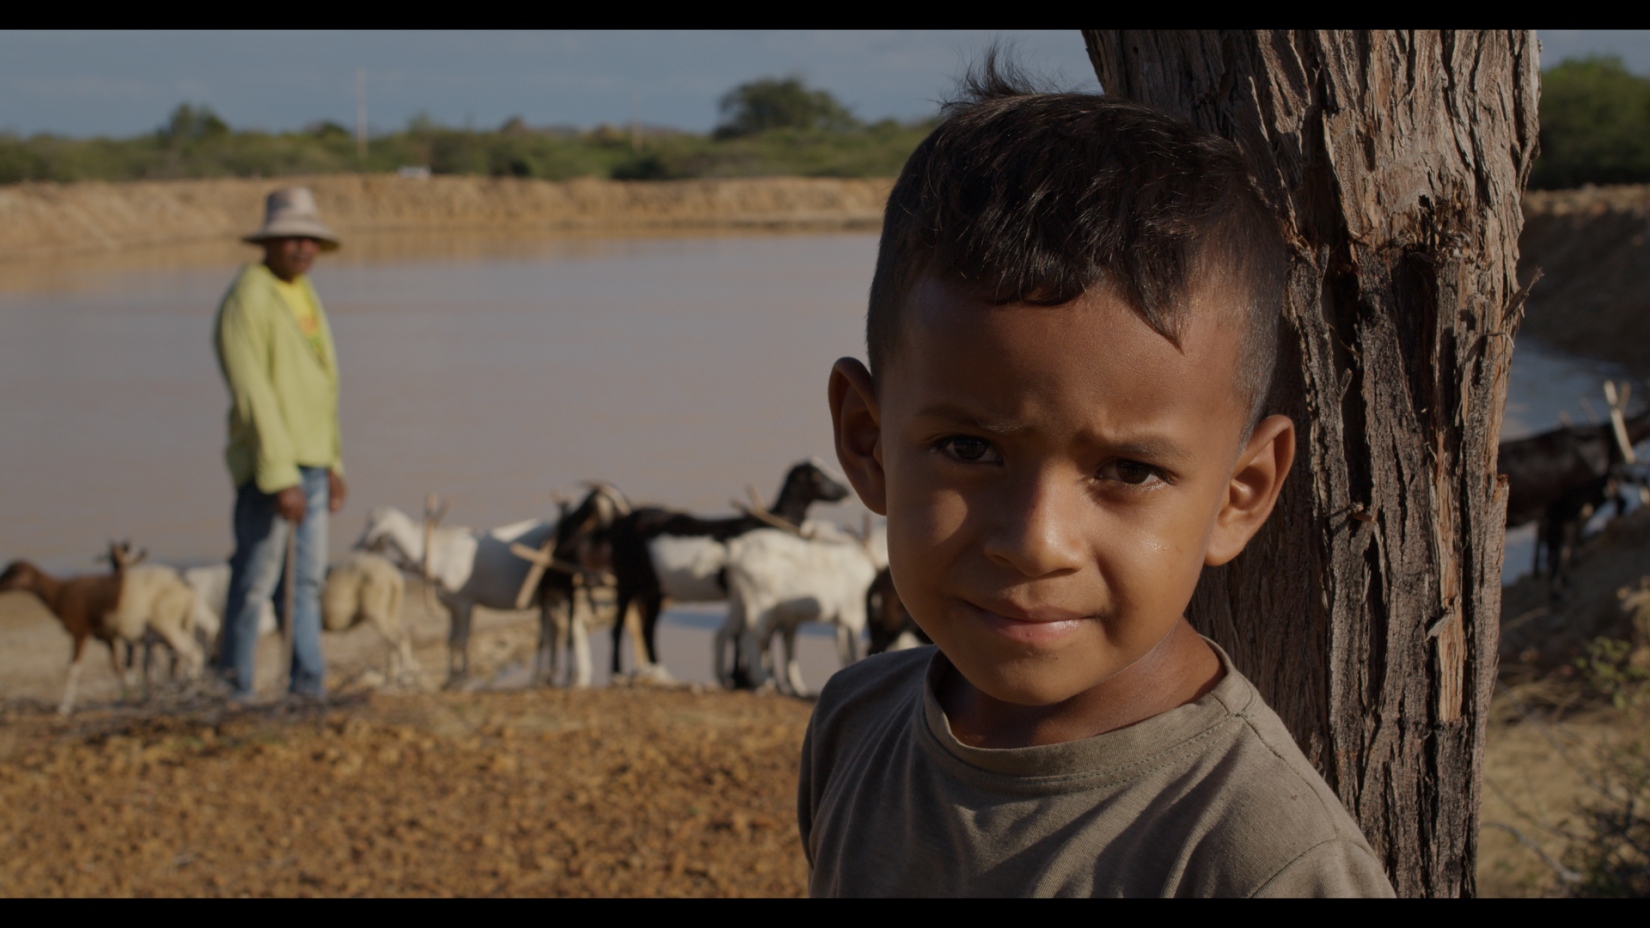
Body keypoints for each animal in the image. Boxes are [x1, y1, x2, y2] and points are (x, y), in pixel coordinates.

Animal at [0, 538, 204, 710]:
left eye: (11, 572)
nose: (0, 585)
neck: (61, 592)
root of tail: (188, 590)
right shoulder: (110, 637)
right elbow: (120, 666)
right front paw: (127, 696)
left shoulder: (81, 632)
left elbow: (74, 668)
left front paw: (65, 707)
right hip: (172, 627)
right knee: (182, 655)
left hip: (165, 625)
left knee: (191, 652)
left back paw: (189, 693)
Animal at [594, 455, 851, 680]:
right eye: (815, 475)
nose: (845, 491)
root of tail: (622, 521)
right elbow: (744, 635)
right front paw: (742, 676)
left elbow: (749, 634)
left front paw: (743, 675)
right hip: (626, 581)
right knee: (618, 627)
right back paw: (616, 673)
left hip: (653, 588)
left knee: (648, 629)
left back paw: (659, 669)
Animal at [716, 521, 884, 693]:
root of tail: (734, 552)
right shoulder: (853, 615)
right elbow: (853, 650)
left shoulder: (840, 620)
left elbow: (843, 650)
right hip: (760, 604)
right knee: (749, 638)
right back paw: (763, 680)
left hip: (738, 600)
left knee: (723, 633)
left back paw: (724, 678)